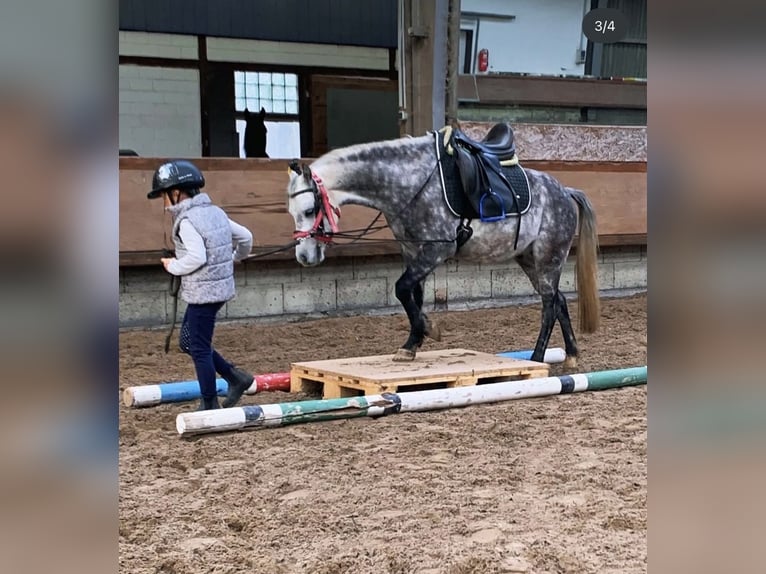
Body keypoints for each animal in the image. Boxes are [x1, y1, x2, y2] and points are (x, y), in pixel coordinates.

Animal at [285, 124, 600, 367]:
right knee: (559, 301)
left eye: (310, 210)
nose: (304, 256)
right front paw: (411, 345)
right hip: (529, 259)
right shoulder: (413, 251)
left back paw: (536, 358)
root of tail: (564, 191)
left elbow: (401, 288)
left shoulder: (436, 250)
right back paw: (571, 356)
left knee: (549, 305)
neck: (411, 182)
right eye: (292, 211)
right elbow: (413, 294)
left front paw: (428, 329)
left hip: (549, 259)